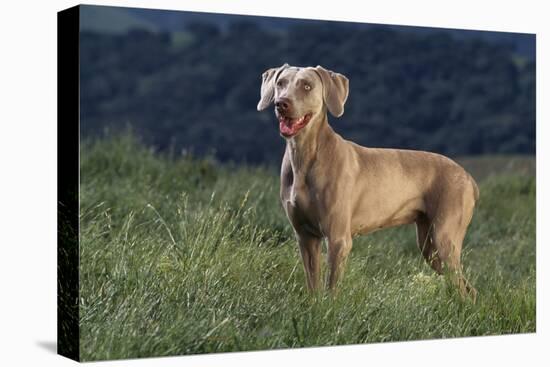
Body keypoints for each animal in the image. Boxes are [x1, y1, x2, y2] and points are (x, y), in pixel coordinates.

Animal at [258, 64, 478, 302]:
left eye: (307, 86)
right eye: (280, 83)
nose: (282, 103)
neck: (304, 156)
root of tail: (468, 178)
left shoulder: (338, 239)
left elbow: (331, 288)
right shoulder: (305, 237)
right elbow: (313, 285)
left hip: (444, 238)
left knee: (462, 287)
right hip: (429, 246)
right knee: (468, 288)